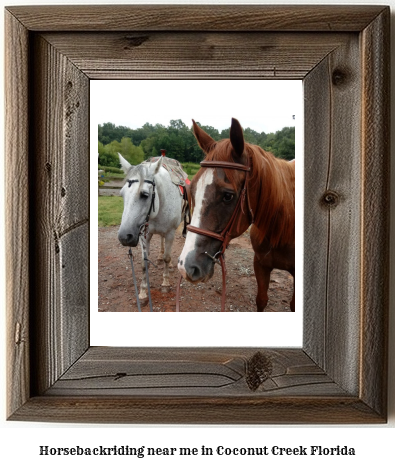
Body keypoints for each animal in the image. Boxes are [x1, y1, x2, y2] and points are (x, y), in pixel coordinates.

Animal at [117, 152, 186, 302]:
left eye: (145, 195)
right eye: (122, 194)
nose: (124, 237)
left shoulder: (170, 233)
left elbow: (167, 257)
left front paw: (165, 283)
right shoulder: (145, 235)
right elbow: (145, 263)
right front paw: (143, 291)